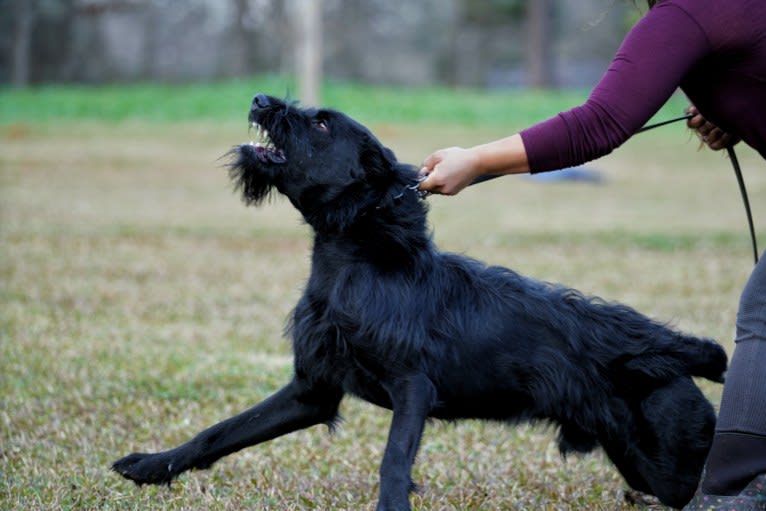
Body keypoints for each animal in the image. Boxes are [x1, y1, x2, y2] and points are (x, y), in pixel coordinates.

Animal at [112, 94, 728, 510]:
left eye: (321, 122)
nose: (261, 99)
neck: (359, 256)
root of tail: (669, 361)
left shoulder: (412, 388)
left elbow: (393, 462)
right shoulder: (312, 391)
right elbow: (220, 431)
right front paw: (152, 466)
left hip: (668, 463)